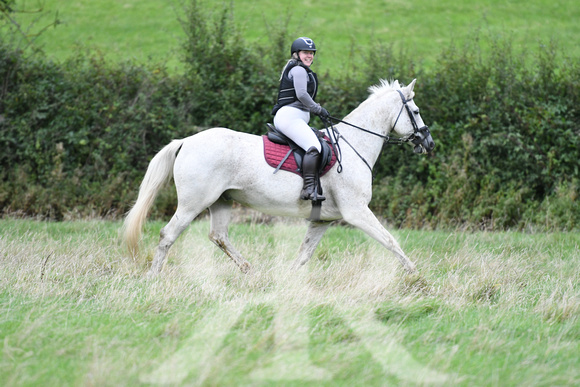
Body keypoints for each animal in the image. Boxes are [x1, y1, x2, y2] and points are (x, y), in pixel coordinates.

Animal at [125, 79, 436, 276]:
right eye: (416, 111)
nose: (429, 143)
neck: (353, 145)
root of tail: (186, 141)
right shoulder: (357, 212)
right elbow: (391, 241)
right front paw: (416, 276)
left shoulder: (323, 220)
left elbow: (304, 254)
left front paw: (285, 281)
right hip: (193, 203)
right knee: (168, 234)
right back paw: (153, 278)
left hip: (221, 200)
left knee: (219, 236)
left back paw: (248, 270)